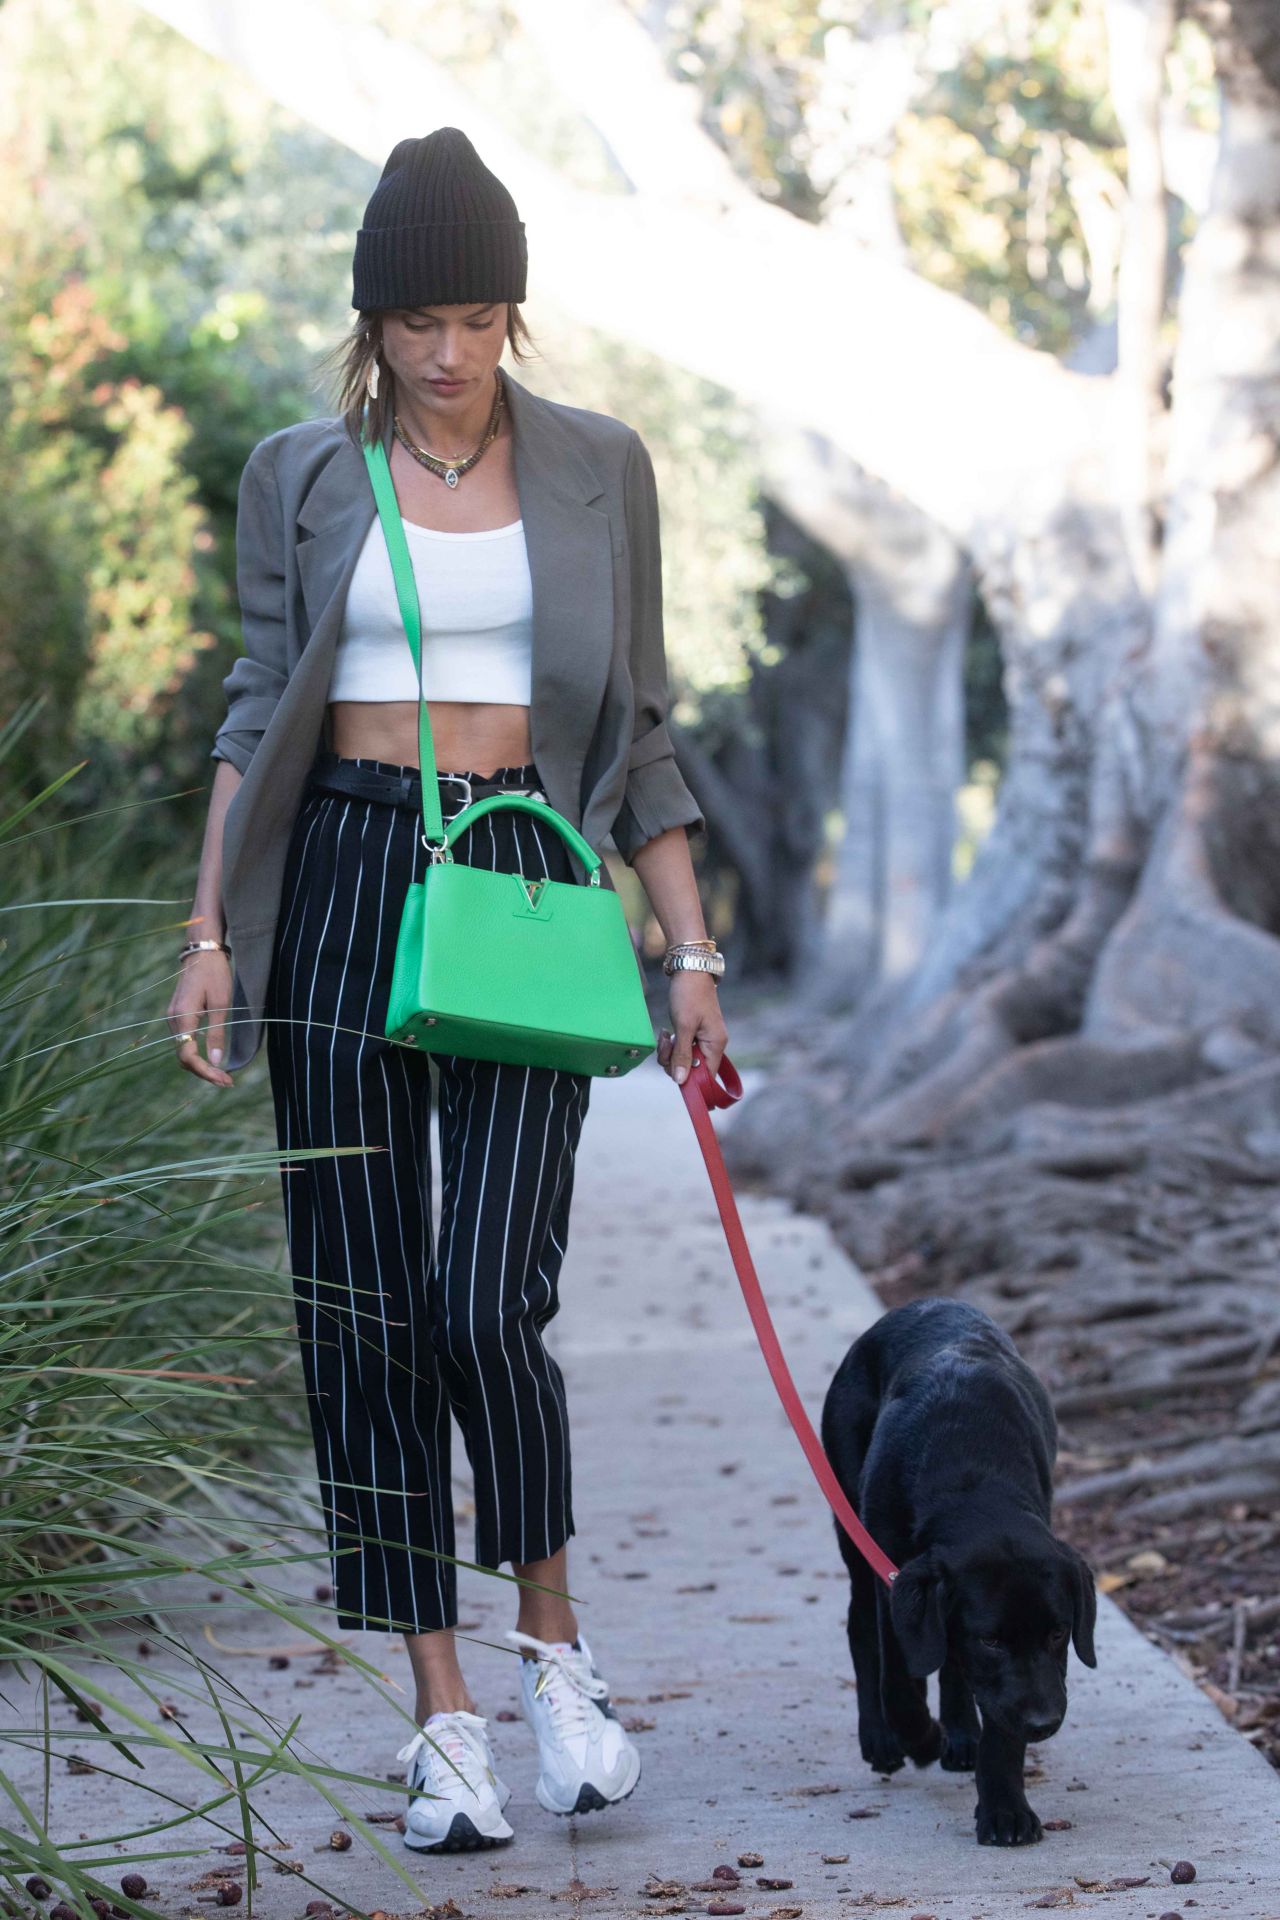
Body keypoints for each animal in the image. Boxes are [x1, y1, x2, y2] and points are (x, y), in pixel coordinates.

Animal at [825, 1297, 1097, 1835]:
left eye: (1059, 1633)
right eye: (990, 1640)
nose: (1044, 1723)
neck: (969, 1479)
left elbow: (997, 1724)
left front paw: (1005, 1808)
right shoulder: (894, 1584)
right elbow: (899, 1682)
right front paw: (921, 1738)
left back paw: (961, 1735)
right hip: (853, 1534)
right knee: (862, 1631)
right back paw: (883, 1739)